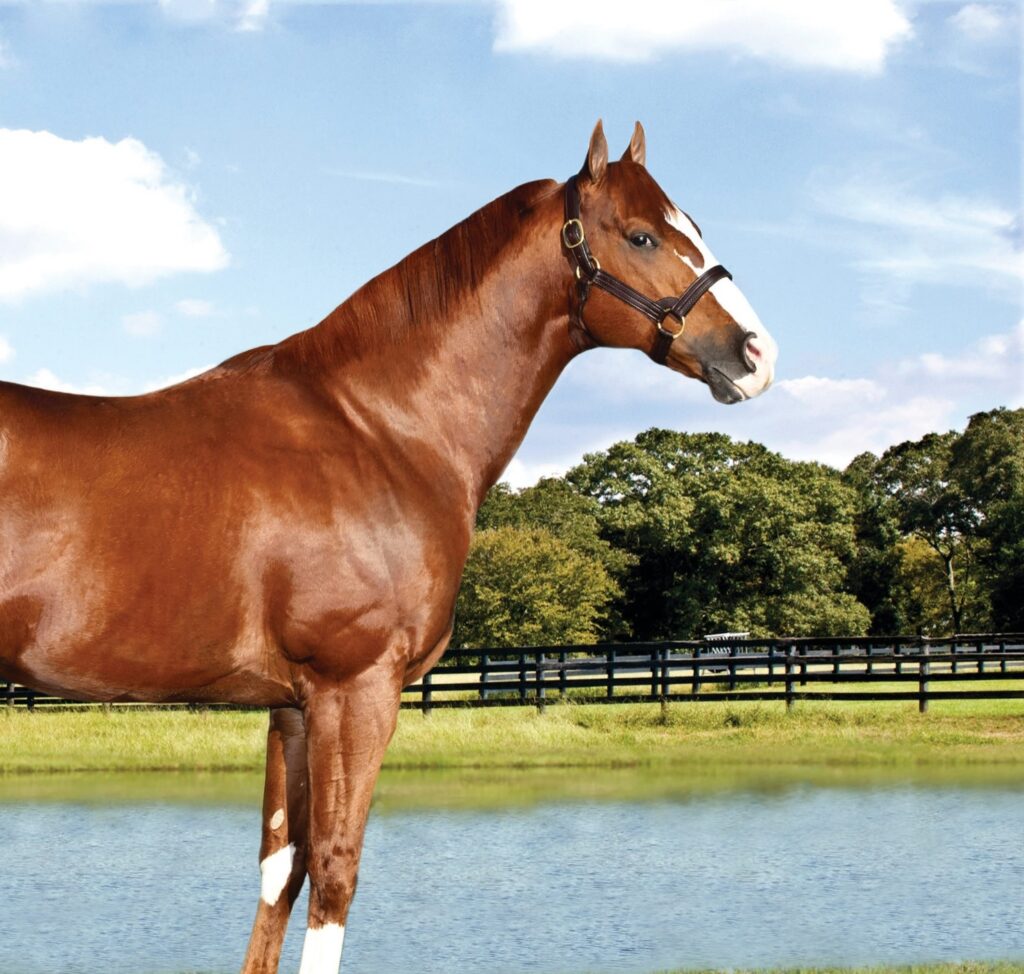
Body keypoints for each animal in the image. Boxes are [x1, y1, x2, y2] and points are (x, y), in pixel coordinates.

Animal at [0, 121, 777, 974]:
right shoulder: (356, 689)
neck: (380, 429)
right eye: (641, 235)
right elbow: (335, 870)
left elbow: (281, 871)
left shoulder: (292, 706)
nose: (756, 353)